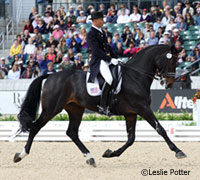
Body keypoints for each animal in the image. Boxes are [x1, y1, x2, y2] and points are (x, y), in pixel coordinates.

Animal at [13, 44, 186, 167]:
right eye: (171, 60)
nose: (170, 84)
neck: (135, 76)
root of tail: (51, 75)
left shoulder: (131, 113)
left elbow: (131, 139)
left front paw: (110, 153)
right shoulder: (143, 109)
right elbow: (160, 129)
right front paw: (178, 151)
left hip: (76, 109)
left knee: (72, 132)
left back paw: (90, 158)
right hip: (51, 109)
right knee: (36, 127)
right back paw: (20, 155)